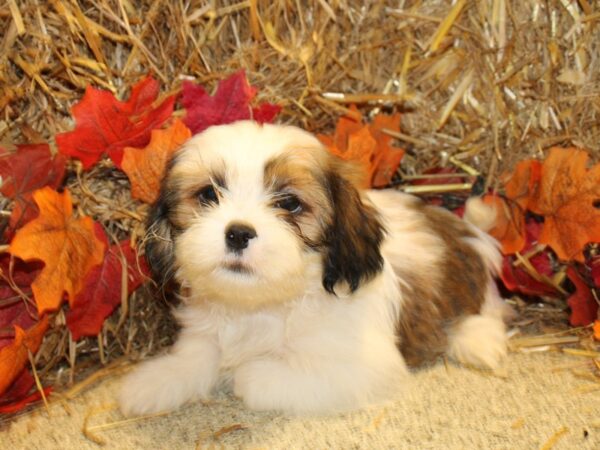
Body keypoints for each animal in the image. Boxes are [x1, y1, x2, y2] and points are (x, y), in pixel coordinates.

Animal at [118, 119, 510, 414]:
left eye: (289, 203)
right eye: (209, 195)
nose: (238, 233)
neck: (262, 305)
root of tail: (470, 230)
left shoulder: (360, 368)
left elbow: (259, 376)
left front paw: (244, 372)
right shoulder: (206, 333)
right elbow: (196, 358)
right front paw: (152, 382)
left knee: (487, 313)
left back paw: (477, 341)